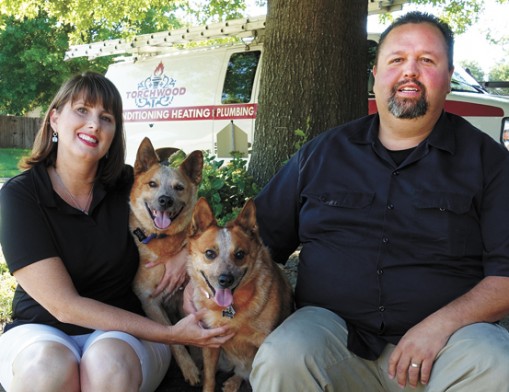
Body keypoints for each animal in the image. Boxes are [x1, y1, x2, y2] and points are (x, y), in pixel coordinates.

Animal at [128, 138, 203, 386]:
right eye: (152, 184)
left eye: (179, 187)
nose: (165, 200)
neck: (163, 241)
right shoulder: (149, 301)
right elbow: (176, 339)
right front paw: (189, 369)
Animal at [187, 199, 292, 392]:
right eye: (209, 253)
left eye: (240, 254)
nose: (225, 280)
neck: (230, 310)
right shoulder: (210, 341)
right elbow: (210, 378)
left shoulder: (262, 342)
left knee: (244, 372)